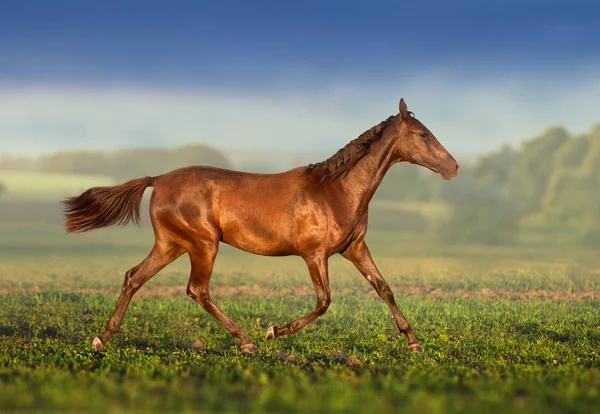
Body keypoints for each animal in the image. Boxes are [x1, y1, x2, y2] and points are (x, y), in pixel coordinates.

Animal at [63, 98, 458, 354]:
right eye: (423, 135)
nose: (453, 166)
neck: (337, 191)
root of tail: (157, 179)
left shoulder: (354, 247)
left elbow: (384, 288)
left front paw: (414, 341)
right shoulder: (314, 254)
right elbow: (324, 301)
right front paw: (274, 331)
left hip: (171, 245)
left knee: (134, 277)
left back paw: (102, 339)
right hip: (203, 244)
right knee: (197, 289)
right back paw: (248, 341)